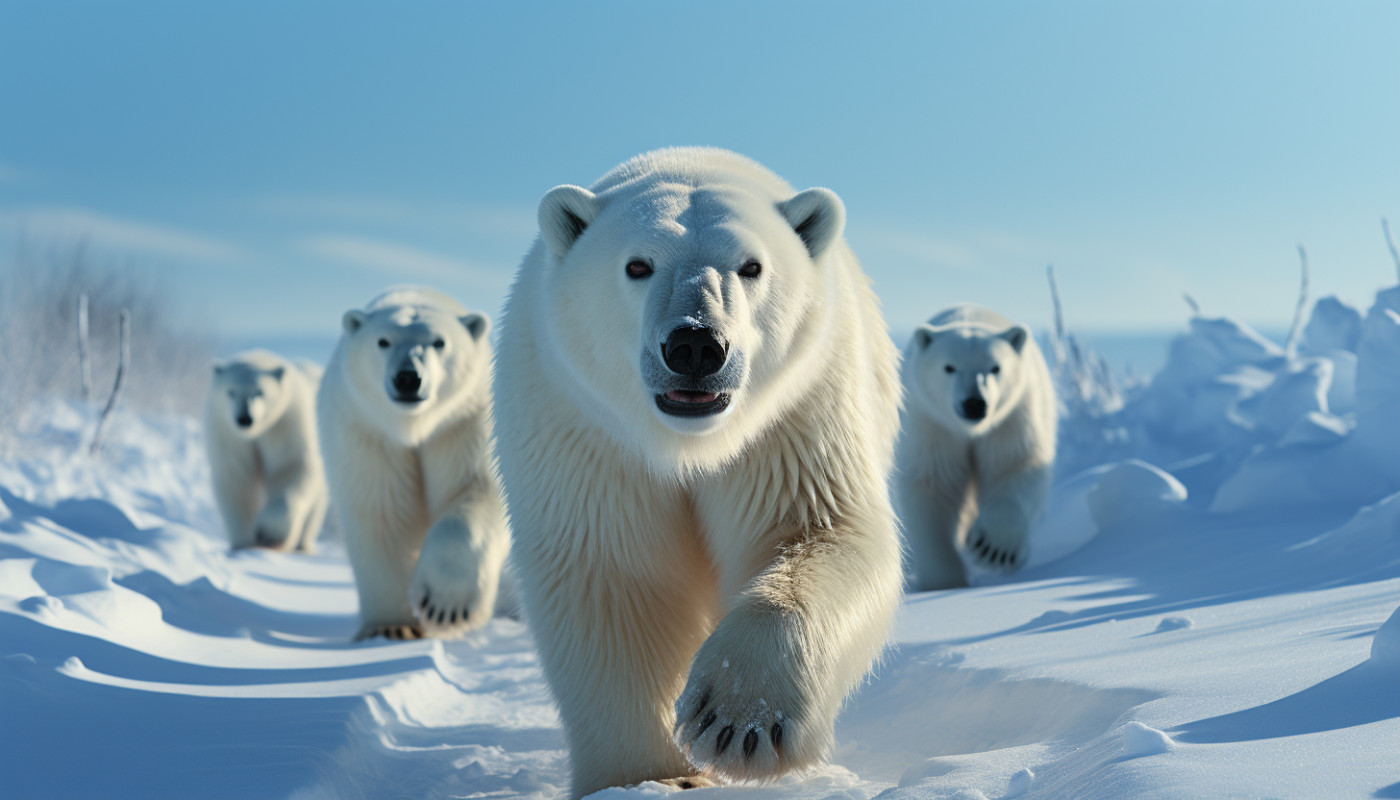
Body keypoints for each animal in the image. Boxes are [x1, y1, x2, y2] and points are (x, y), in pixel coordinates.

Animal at [204, 349, 328, 553]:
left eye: (259, 392)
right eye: (230, 391)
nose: (244, 418)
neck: (257, 432)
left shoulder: (286, 425)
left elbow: (291, 468)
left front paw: (269, 535)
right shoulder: (229, 435)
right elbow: (237, 478)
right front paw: (242, 542)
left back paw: (303, 545)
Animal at [317, 286, 509, 641]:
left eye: (439, 342)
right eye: (382, 341)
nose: (407, 378)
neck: (413, 427)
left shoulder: (463, 422)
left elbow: (475, 488)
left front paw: (445, 607)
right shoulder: (367, 431)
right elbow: (382, 512)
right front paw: (392, 626)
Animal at [494, 147, 904, 798]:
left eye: (751, 265)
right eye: (637, 264)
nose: (694, 346)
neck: (687, 445)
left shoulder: (793, 415)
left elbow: (816, 529)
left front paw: (738, 722)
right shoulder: (588, 430)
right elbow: (615, 577)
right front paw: (649, 776)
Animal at [895, 304, 1057, 591]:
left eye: (995, 368)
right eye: (949, 367)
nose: (974, 403)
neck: (970, 431)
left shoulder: (1011, 418)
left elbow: (1015, 466)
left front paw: (991, 549)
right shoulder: (931, 423)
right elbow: (932, 486)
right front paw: (943, 580)